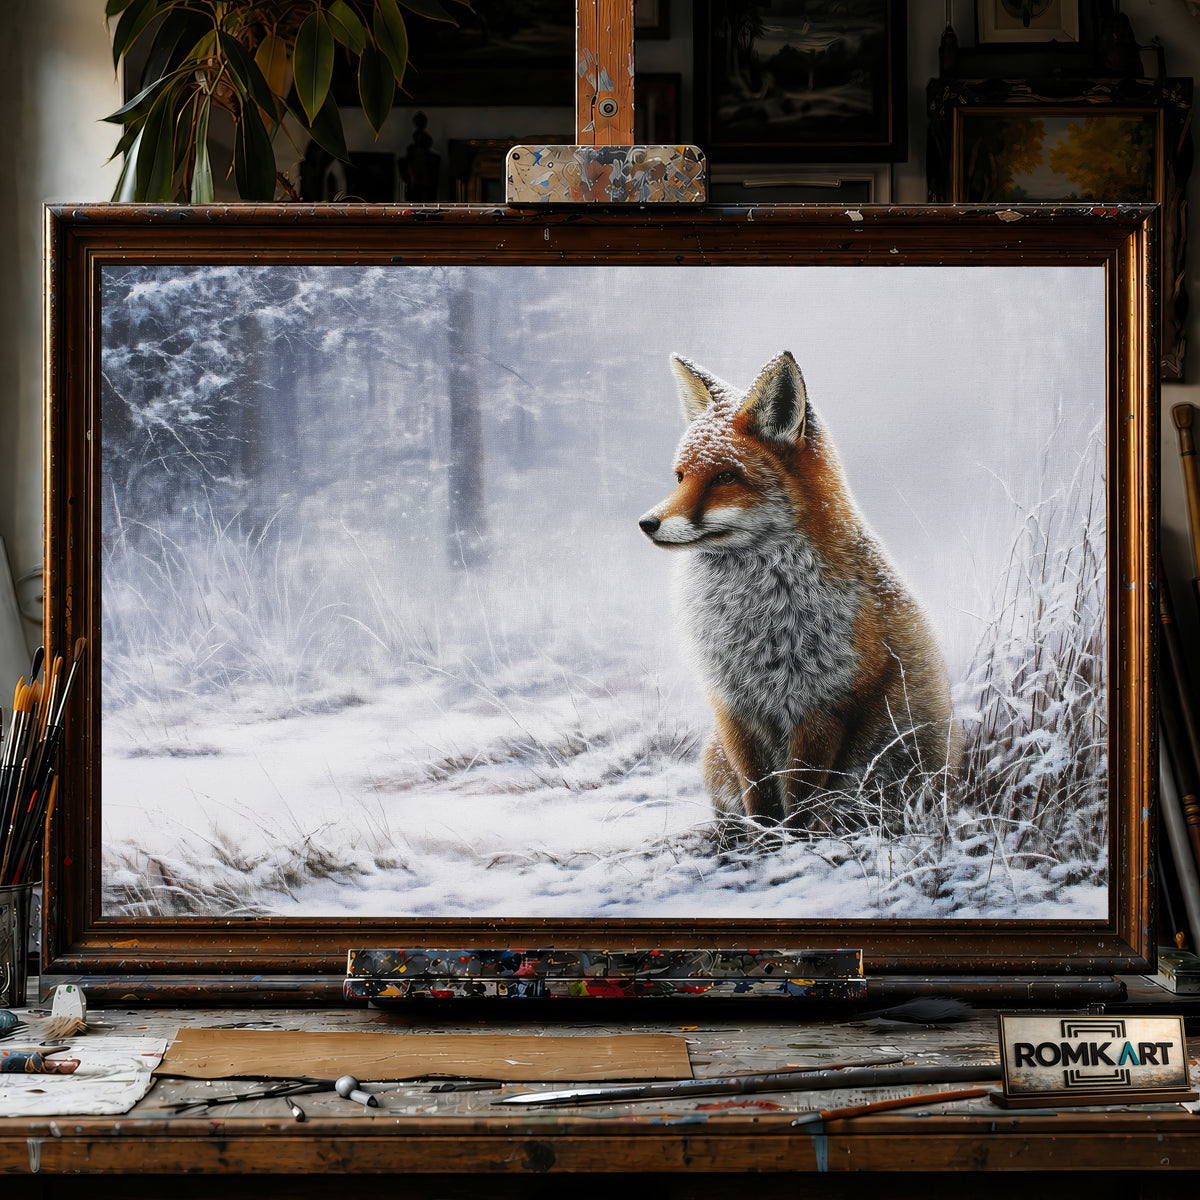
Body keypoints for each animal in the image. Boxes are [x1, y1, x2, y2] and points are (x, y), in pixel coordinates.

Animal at [638, 351, 957, 833]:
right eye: (680, 477)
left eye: (725, 477)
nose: (647, 523)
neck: (756, 622)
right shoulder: (733, 706)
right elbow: (759, 794)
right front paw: (764, 842)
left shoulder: (823, 705)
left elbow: (801, 802)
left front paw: (794, 844)